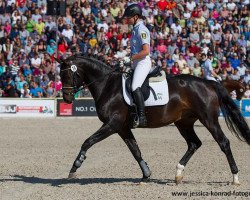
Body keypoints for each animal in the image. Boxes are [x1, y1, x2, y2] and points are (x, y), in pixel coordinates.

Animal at [56, 55, 250, 185]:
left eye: (67, 75)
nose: (66, 99)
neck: (107, 86)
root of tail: (209, 83)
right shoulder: (122, 127)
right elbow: (135, 150)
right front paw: (146, 174)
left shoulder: (112, 124)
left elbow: (88, 141)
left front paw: (75, 167)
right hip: (184, 122)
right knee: (194, 143)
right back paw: (178, 173)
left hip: (208, 119)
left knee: (223, 142)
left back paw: (235, 177)